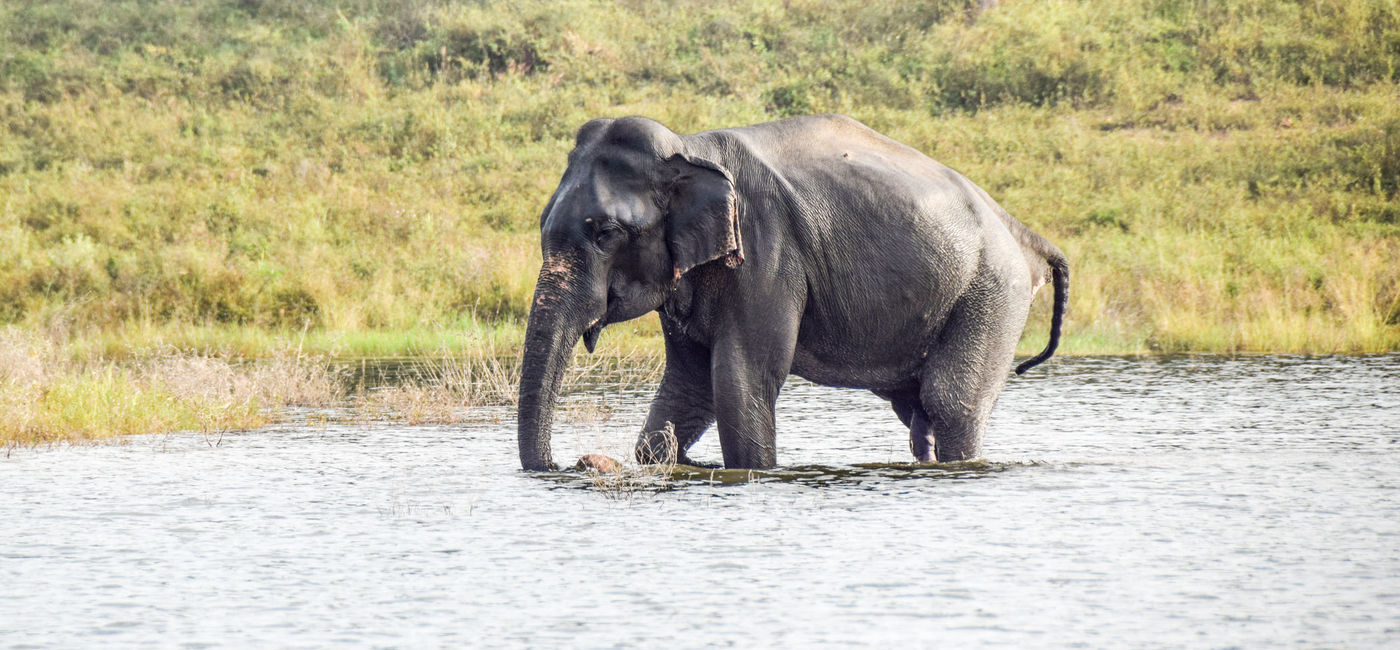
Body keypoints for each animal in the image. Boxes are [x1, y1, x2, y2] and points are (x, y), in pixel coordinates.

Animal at [517, 114, 1068, 471]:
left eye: (607, 234)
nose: (570, 465)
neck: (691, 148)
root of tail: (1020, 230)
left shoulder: (768, 252)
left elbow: (743, 380)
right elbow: (688, 385)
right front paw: (667, 459)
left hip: (991, 292)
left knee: (951, 402)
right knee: (919, 413)